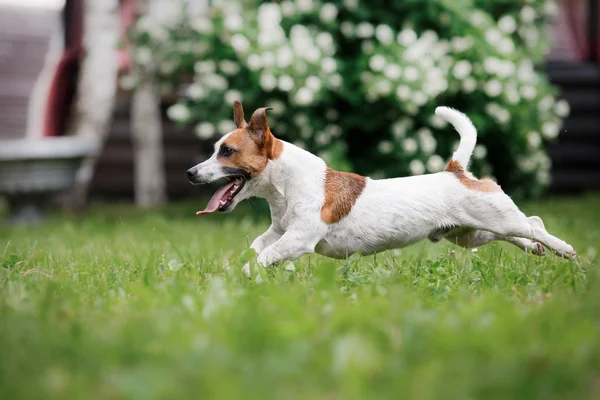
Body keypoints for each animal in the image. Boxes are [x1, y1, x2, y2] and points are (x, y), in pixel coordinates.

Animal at [186, 100, 576, 276]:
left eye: (227, 151)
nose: (190, 173)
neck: (287, 185)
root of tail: (456, 171)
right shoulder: (278, 231)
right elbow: (259, 246)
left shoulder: (297, 239)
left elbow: (267, 256)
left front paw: (245, 276)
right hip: (469, 233)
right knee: (518, 232)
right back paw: (538, 250)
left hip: (495, 217)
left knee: (532, 225)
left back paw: (566, 250)